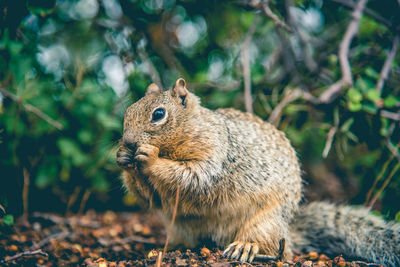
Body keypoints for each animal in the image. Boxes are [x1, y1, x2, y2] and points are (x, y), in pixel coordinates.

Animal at [117, 78, 400, 266]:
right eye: (128, 111)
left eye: (159, 114)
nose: (128, 142)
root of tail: (288, 232)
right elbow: (152, 197)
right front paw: (123, 159)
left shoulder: (216, 155)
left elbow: (194, 178)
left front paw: (151, 158)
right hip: (178, 226)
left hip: (266, 221)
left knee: (271, 244)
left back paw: (246, 246)